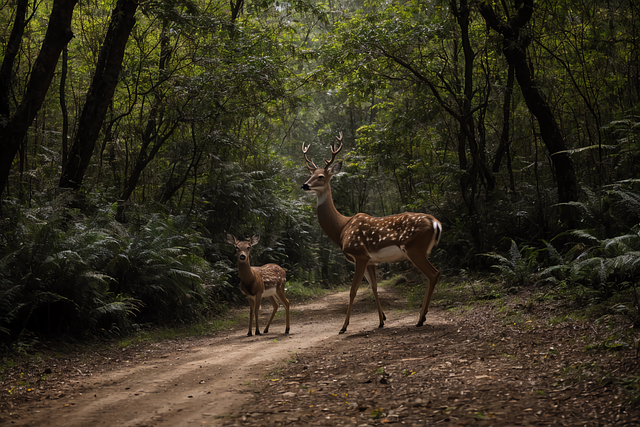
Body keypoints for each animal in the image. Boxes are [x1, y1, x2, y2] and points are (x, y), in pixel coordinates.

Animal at [302, 133, 442, 334]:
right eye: (309, 175)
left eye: (320, 176)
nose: (305, 185)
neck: (342, 228)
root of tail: (436, 223)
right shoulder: (371, 261)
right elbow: (374, 287)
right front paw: (382, 320)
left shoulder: (359, 254)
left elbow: (353, 291)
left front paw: (343, 327)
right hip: (418, 250)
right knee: (433, 274)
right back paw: (421, 317)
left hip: (415, 248)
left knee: (433, 274)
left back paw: (421, 318)